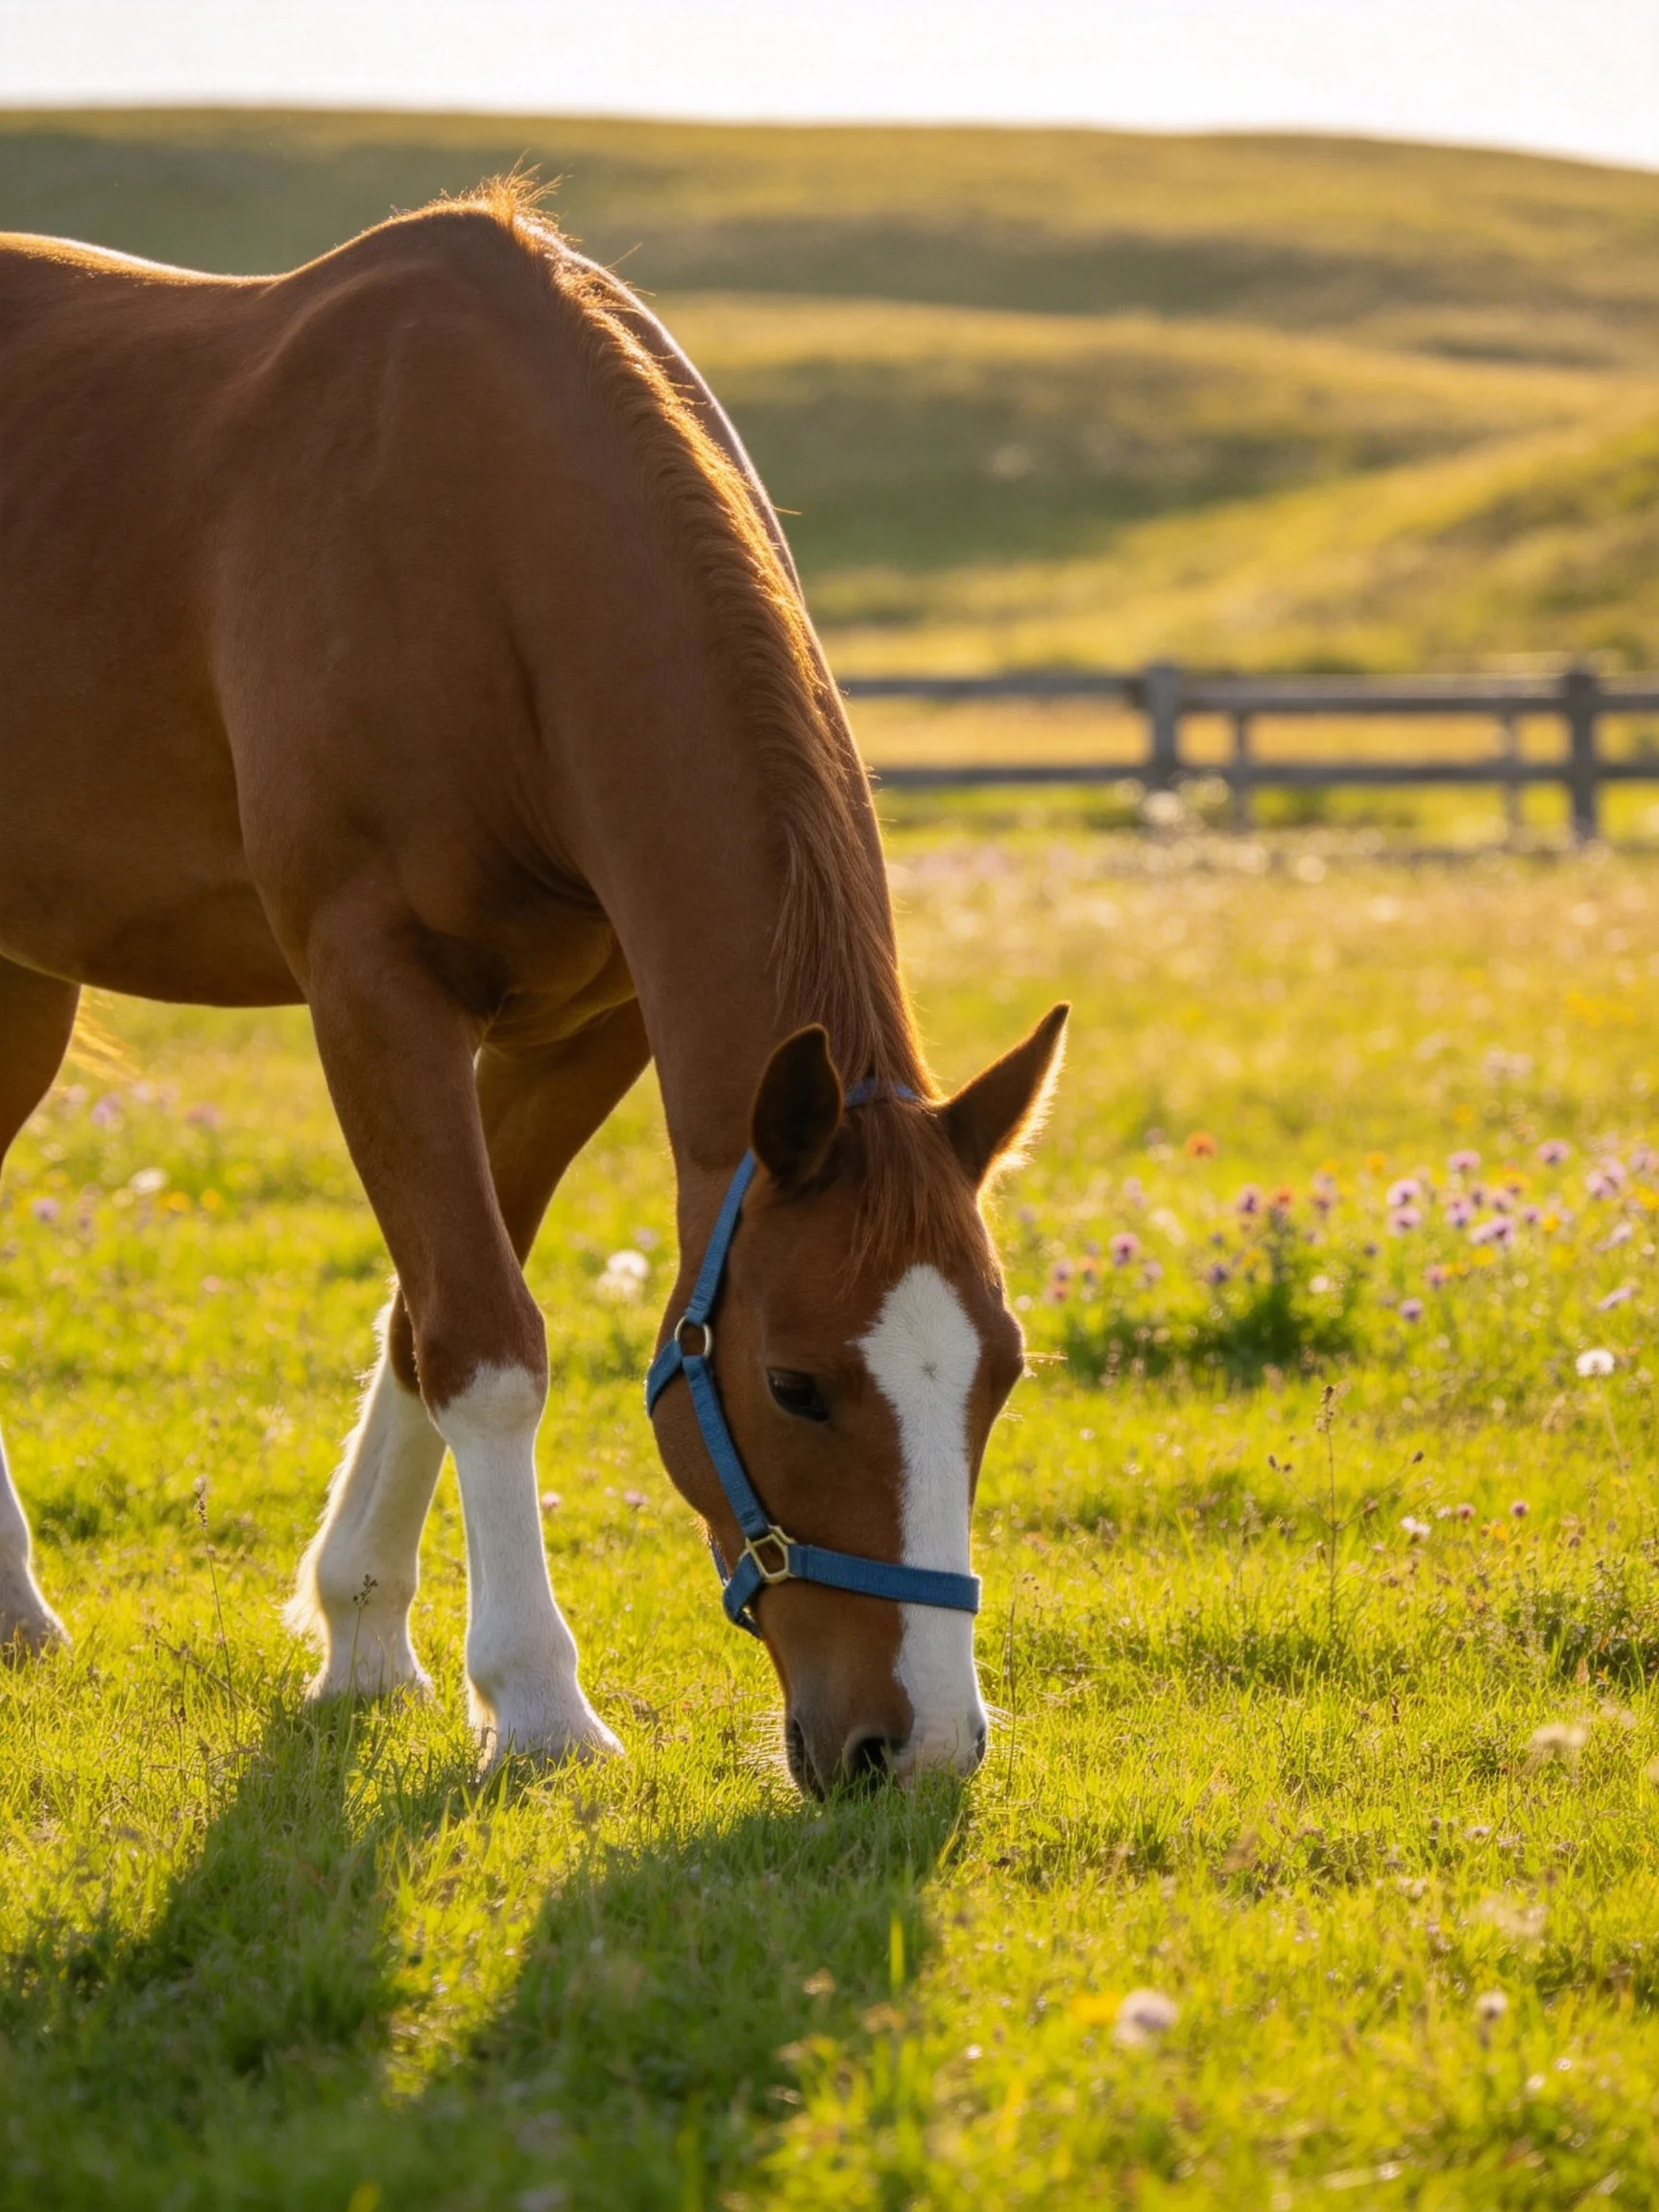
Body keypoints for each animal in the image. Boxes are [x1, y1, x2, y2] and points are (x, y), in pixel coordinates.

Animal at [0, 180, 1066, 1795]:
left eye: (997, 1374)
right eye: (796, 1383)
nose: (923, 1746)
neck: (487, 546)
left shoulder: (589, 1028)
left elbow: (420, 1313)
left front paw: (364, 1638)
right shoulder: (374, 989)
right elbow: (485, 1341)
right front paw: (539, 1702)